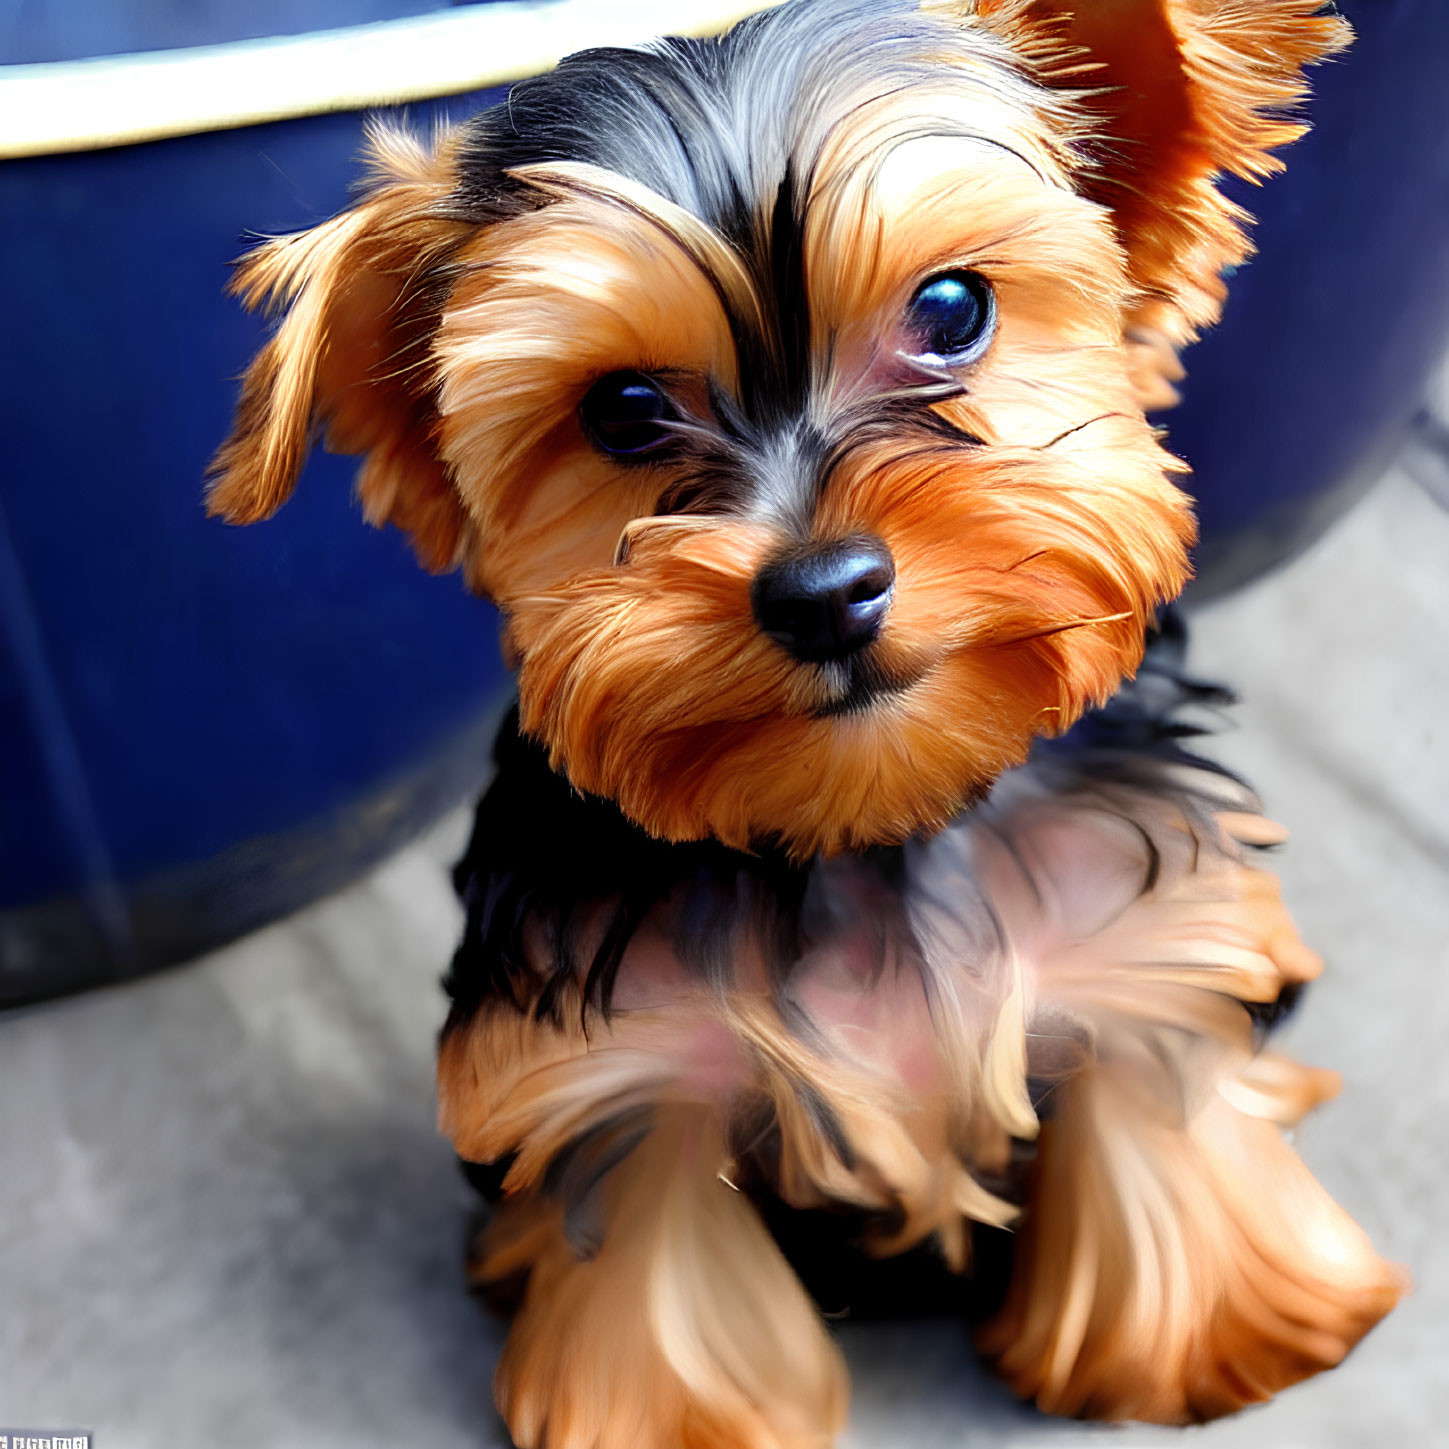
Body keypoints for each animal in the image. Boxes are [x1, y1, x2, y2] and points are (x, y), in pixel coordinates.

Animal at [207, 0, 1402, 1443]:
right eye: (621, 410)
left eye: (952, 310)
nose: (825, 591)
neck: (873, 821)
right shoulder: (627, 1063)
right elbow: (658, 1284)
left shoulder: (1140, 931)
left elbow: (1153, 1105)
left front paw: (1217, 1328)